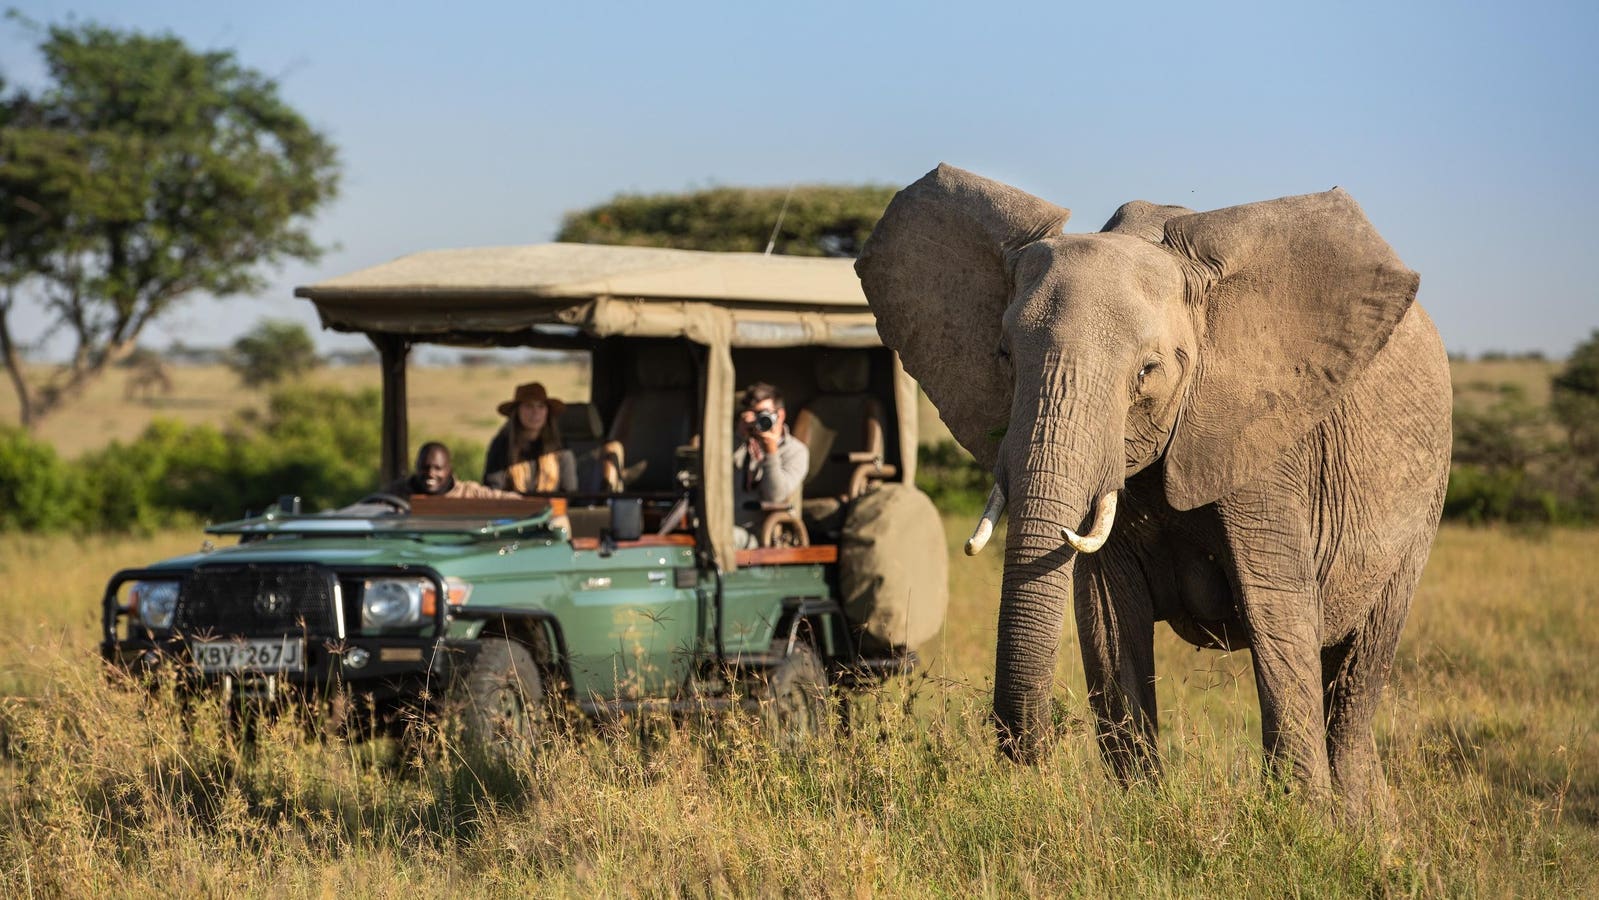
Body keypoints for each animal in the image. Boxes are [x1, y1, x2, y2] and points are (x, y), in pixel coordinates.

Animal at [857, 163, 1458, 818]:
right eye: (1004, 355)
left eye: (1148, 370)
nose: (1030, 755)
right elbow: (1108, 621)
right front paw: (1142, 814)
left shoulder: (1266, 445)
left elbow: (1277, 618)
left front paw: (1302, 824)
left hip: (1424, 504)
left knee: (1353, 681)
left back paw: (1361, 828)